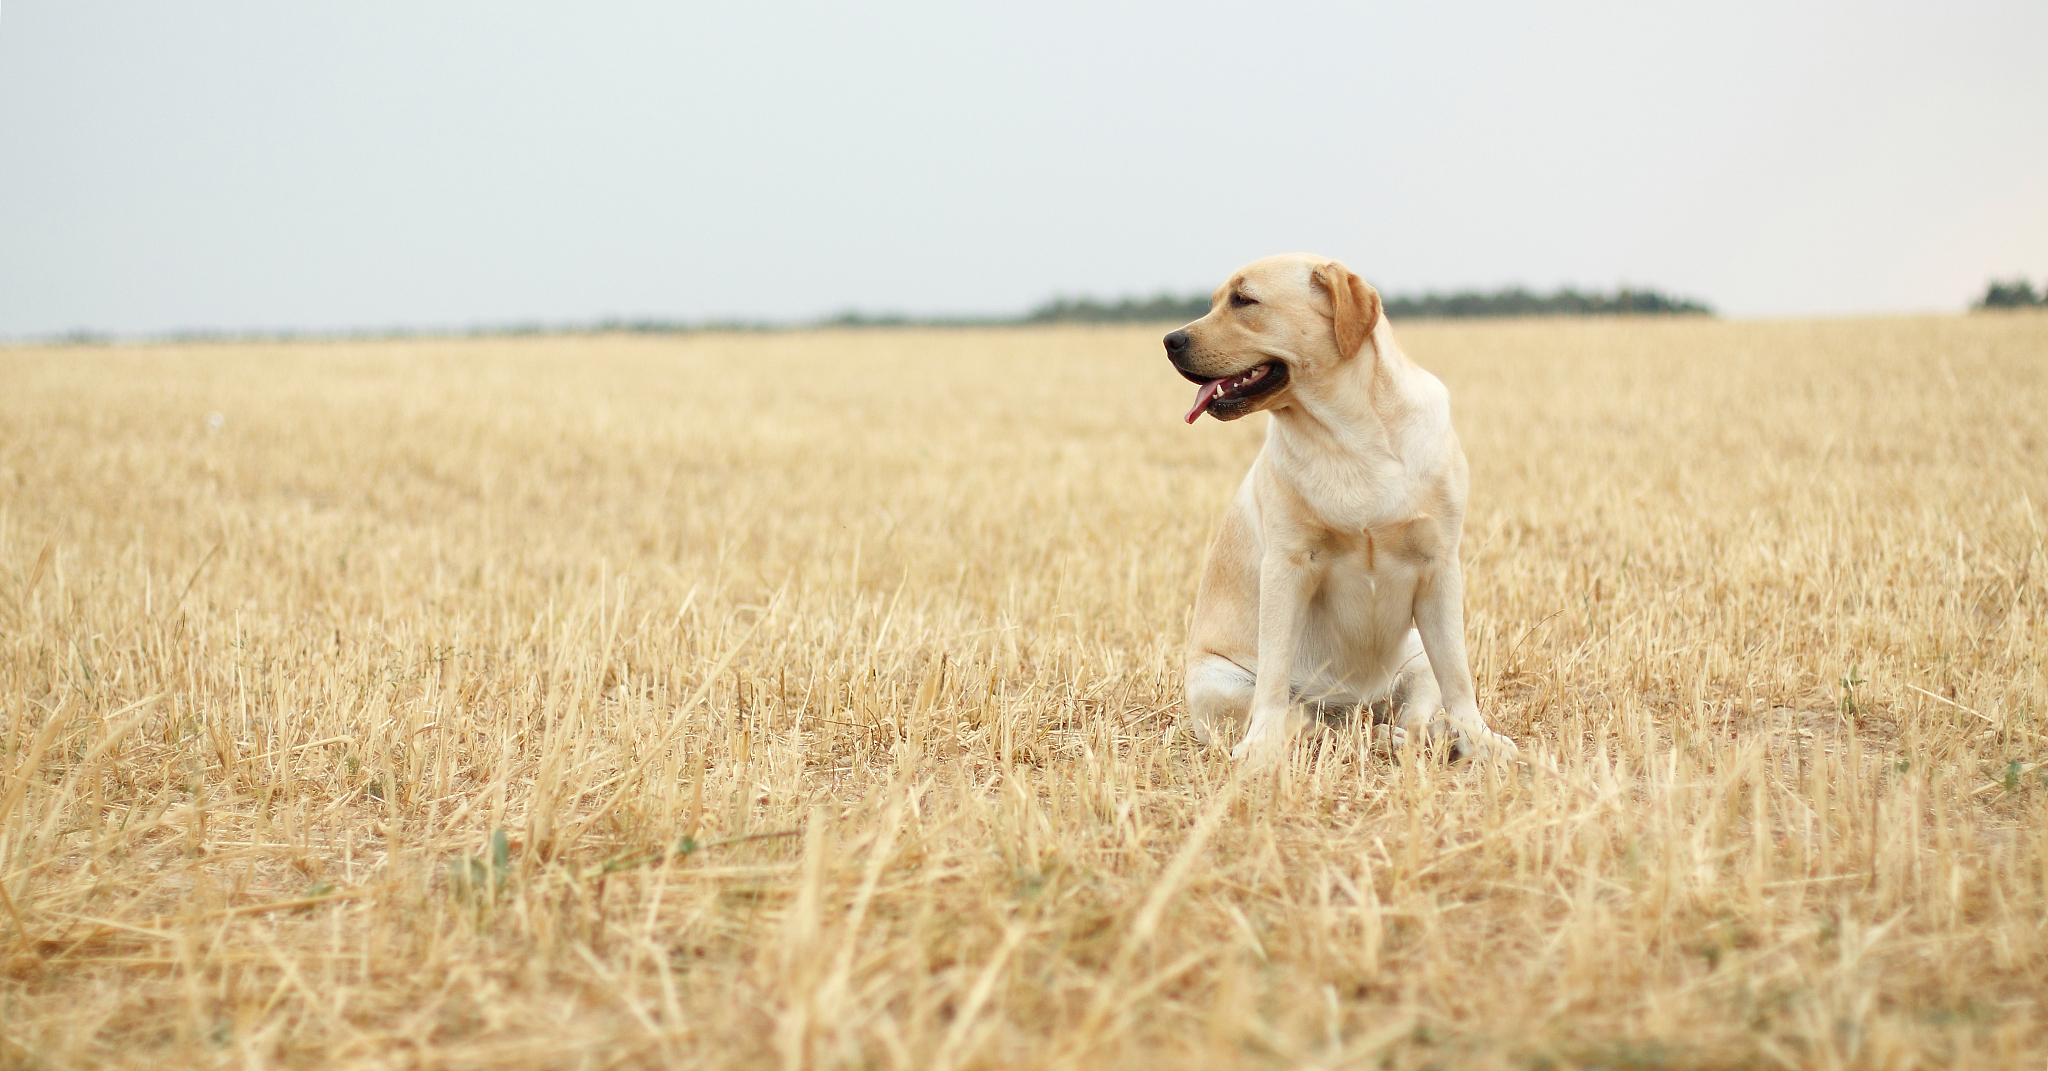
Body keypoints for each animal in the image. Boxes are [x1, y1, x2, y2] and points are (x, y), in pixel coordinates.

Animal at [1171, 255, 1523, 765]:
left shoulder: (1439, 565)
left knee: (1412, 719)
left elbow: (1458, 675)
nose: (1169, 340)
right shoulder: (1288, 565)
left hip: (1417, 658)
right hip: (1216, 686)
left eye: (1243, 300)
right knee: (1304, 720)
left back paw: (1413, 735)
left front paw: (1480, 739)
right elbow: (1274, 676)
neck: (1351, 434)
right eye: (1218, 301)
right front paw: (1259, 748)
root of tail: (1354, 706)